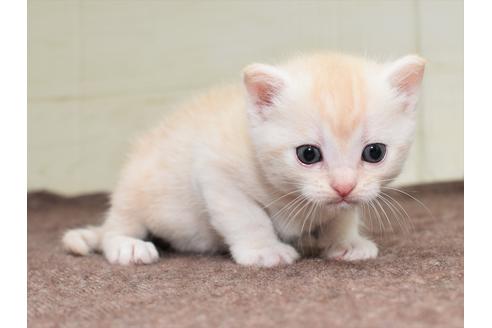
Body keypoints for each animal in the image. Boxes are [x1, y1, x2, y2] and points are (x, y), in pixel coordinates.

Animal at [62, 51, 422, 266]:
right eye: (308, 154)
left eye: (374, 153)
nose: (344, 187)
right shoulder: (215, 172)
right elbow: (248, 217)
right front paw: (265, 250)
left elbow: (341, 215)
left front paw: (346, 242)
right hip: (135, 187)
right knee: (117, 225)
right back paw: (127, 245)